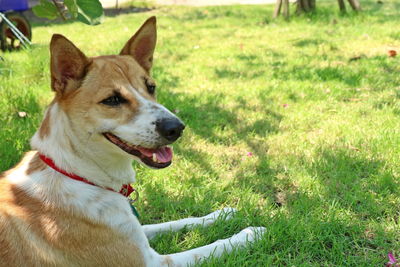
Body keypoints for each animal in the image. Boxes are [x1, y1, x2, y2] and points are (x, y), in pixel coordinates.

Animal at [0, 17, 266, 267]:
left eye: (151, 87)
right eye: (112, 100)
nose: (176, 128)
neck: (76, 172)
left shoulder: (134, 232)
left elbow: (177, 222)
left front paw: (222, 214)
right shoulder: (150, 261)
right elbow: (210, 248)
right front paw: (250, 233)